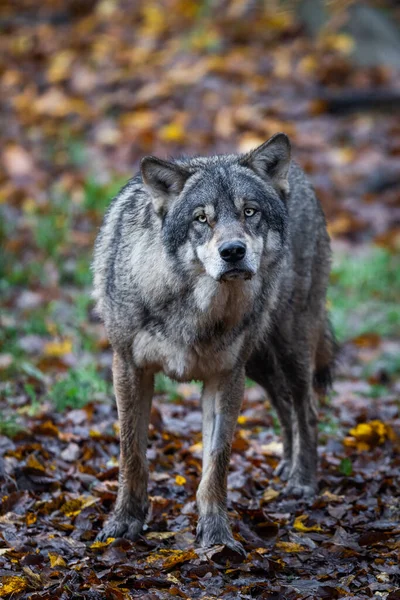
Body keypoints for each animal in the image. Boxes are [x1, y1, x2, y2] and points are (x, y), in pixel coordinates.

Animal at [93, 134, 334, 556]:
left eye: (250, 212)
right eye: (201, 219)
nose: (233, 251)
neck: (197, 310)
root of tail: (299, 177)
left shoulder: (225, 377)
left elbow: (216, 463)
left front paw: (217, 535)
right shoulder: (127, 367)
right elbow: (131, 453)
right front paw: (124, 522)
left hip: (289, 351)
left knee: (307, 409)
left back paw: (302, 480)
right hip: (261, 365)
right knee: (285, 405)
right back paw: (287, 466)